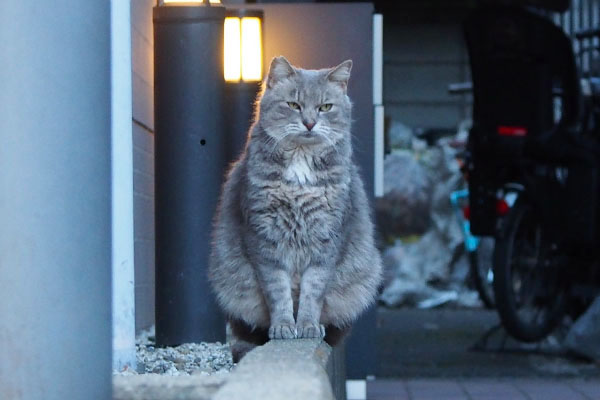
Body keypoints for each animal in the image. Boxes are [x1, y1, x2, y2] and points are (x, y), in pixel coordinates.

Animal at [209, 55, 382, 360]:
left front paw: (308, 326)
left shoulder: (327, 238)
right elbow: (278, 291)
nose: (310, 123)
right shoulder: (263, 237)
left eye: (325, 107)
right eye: (293, 105)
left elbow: (313, 291)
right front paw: (283, 327)